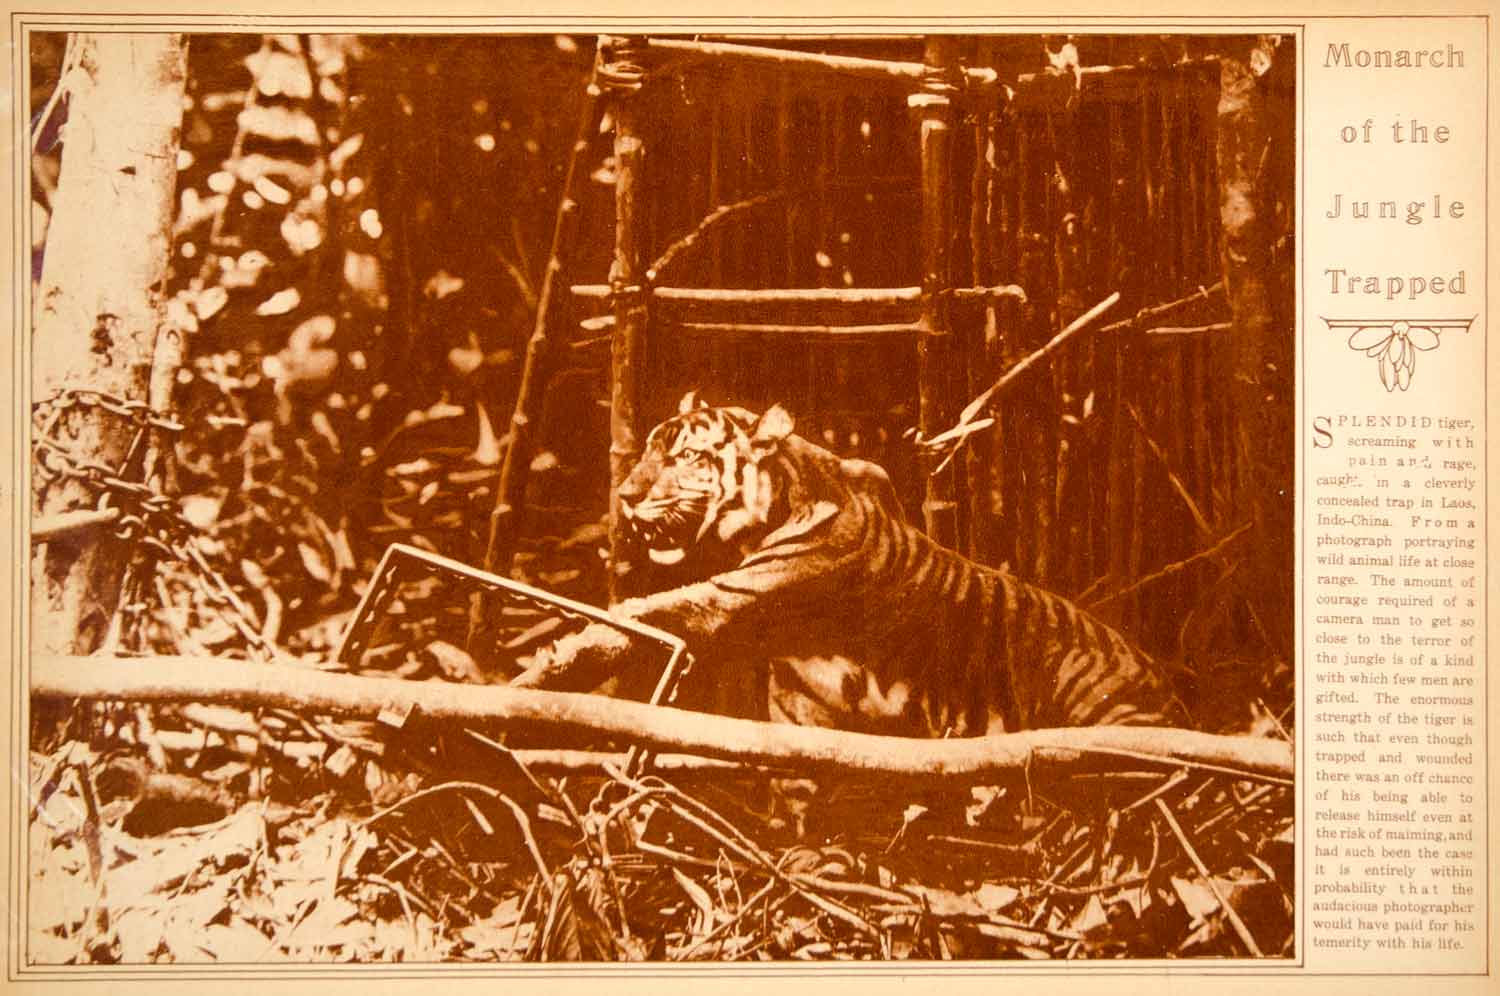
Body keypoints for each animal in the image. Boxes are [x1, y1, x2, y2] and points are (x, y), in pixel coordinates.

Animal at [511, 394, 1188, 741]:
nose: (625, 496)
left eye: (685, 457)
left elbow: (648, 611)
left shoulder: (738, 593)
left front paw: (548, 666)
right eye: (650, 448)